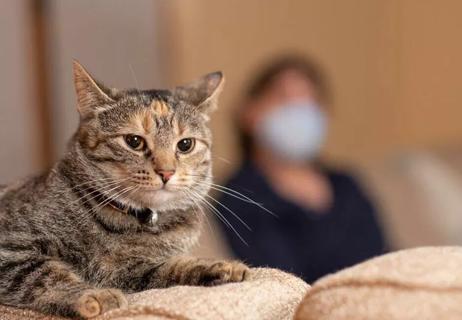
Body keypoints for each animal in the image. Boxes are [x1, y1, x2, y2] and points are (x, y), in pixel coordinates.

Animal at [0, 61, 249, 318]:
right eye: (134, 141)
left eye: (185, 144)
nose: (166, 172)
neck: (130, 223)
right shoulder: (11, 248)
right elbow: (46, 274)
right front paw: (94, 295)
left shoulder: (132, 270)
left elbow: (173, 266)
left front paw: (222, 267)